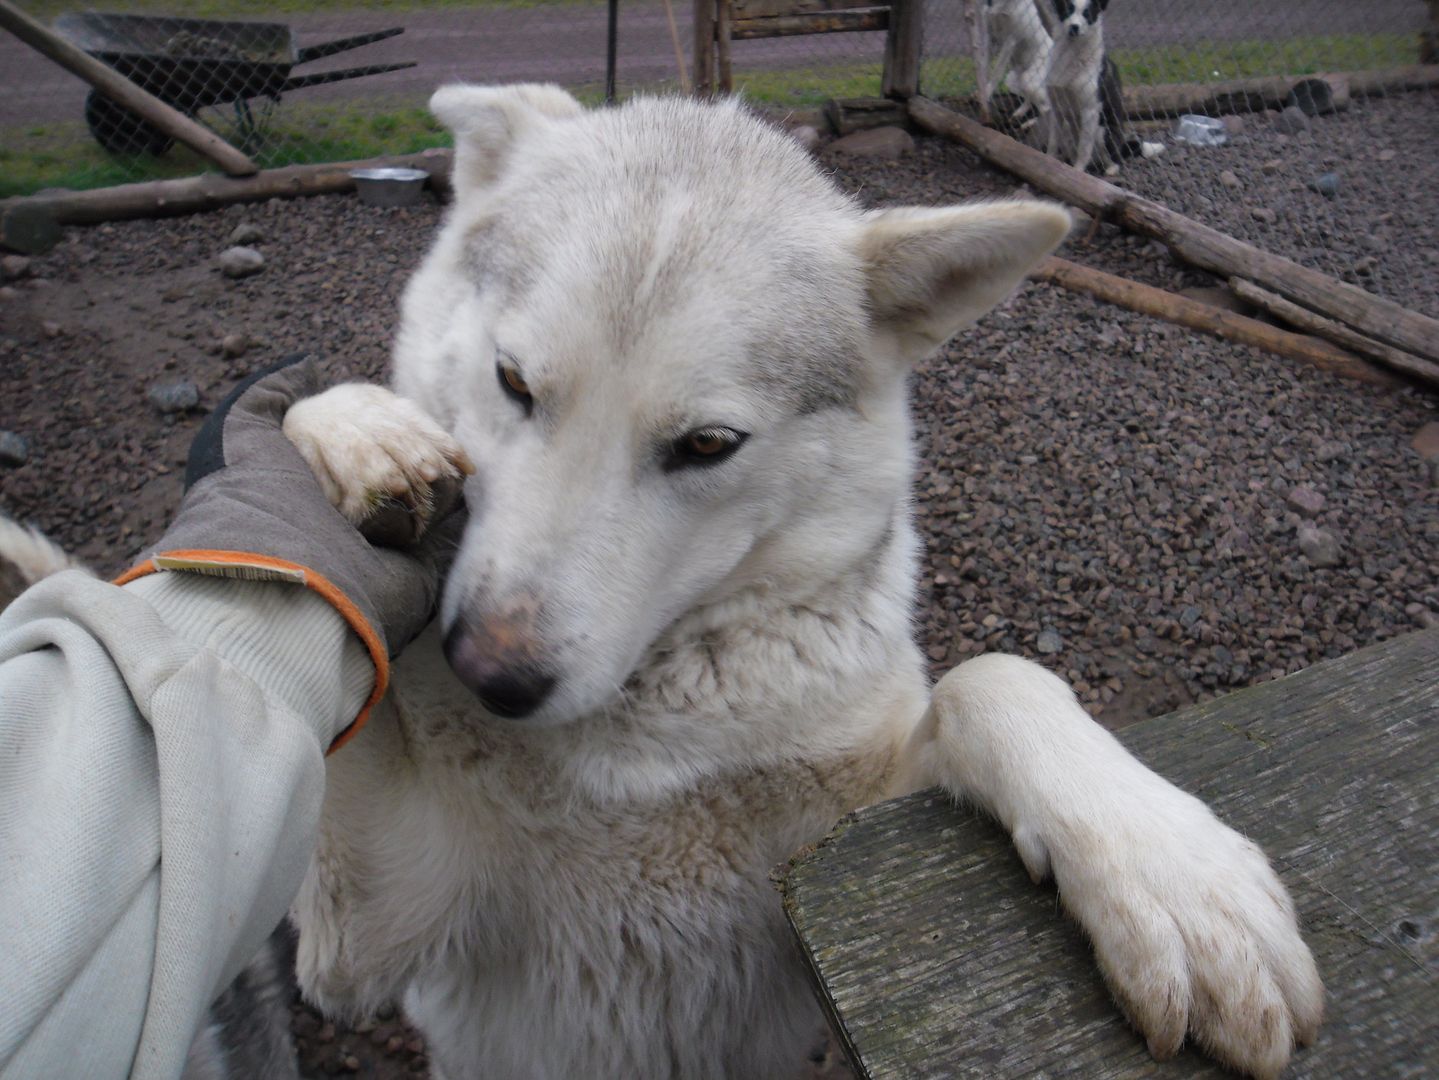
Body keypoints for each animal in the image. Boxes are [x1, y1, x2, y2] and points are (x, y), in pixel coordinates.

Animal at [273, 85, 1323, 1080]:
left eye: (707, 445)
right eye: (513, 382)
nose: (489, 673)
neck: (638, 753)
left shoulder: (834, 855)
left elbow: (994, 678)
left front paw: (1174, 878)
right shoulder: (366, 939)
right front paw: (357, 433)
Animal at [978, 0, 1055, 131]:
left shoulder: (1010, 40)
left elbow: (996, 72)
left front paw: (987, 93)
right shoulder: (989, 34)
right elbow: (984, 65)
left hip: (1029, 80)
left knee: (1047, 109)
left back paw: (1029, 123)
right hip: (1014, 78)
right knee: (1031, 100)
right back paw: (1019, 114)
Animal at [1045, 0, 1164, 174]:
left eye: (1087, 13)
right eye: (1068, 8)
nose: (1074, 27)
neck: (1071, 54)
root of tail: (1123, 146)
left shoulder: (1090, 111)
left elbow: (1084, 148)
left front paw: (1078, 171)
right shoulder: (1057, 109)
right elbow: (1053, 142)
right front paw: (1048, 161)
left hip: (1101, 131)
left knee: (1115, 160)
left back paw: (1110, 169)